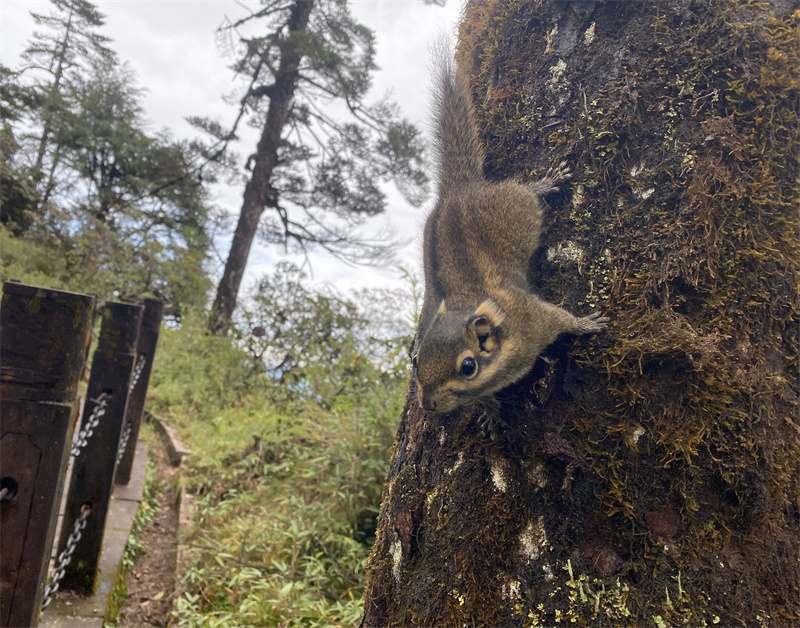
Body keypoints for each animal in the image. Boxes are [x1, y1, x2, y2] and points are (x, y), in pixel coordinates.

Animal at [412, 50, 608, 432]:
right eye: (415, 360)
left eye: (468, 366)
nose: (427, 405)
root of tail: (459, 190)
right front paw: (489, 410)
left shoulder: (535, 318)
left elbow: (562, 320)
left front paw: (586, 323)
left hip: (516, 207)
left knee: (527, 194)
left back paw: (545, 183)